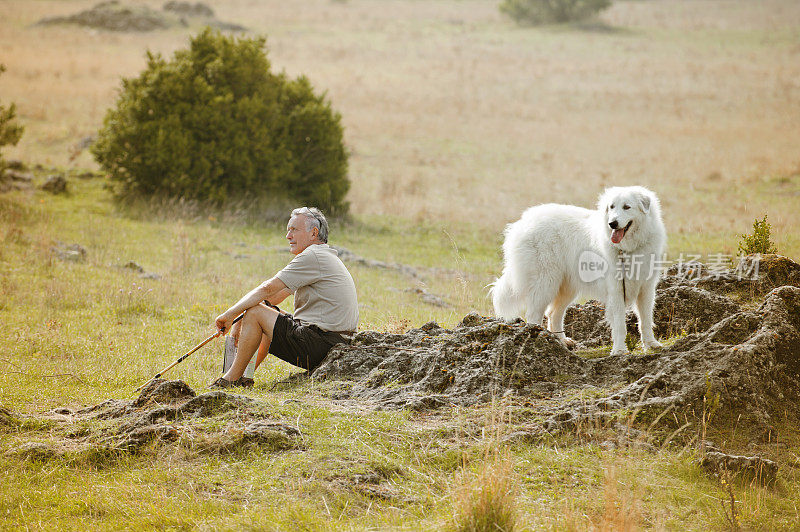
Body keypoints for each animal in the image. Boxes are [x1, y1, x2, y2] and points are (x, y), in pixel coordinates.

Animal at [490, 185, 664, 356]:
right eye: (611, 207)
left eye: (627, 207)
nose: (612, 224)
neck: (629, 249)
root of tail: (522, 222)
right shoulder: (616, 290)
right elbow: (620, 324)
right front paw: (620, 351)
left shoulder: (646, 289)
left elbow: (646, 321)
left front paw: (651, 344)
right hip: (545, 283)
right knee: (534, 315)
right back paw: (537, 342)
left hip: (566, 287)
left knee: (553, 314)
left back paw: (561, 343)